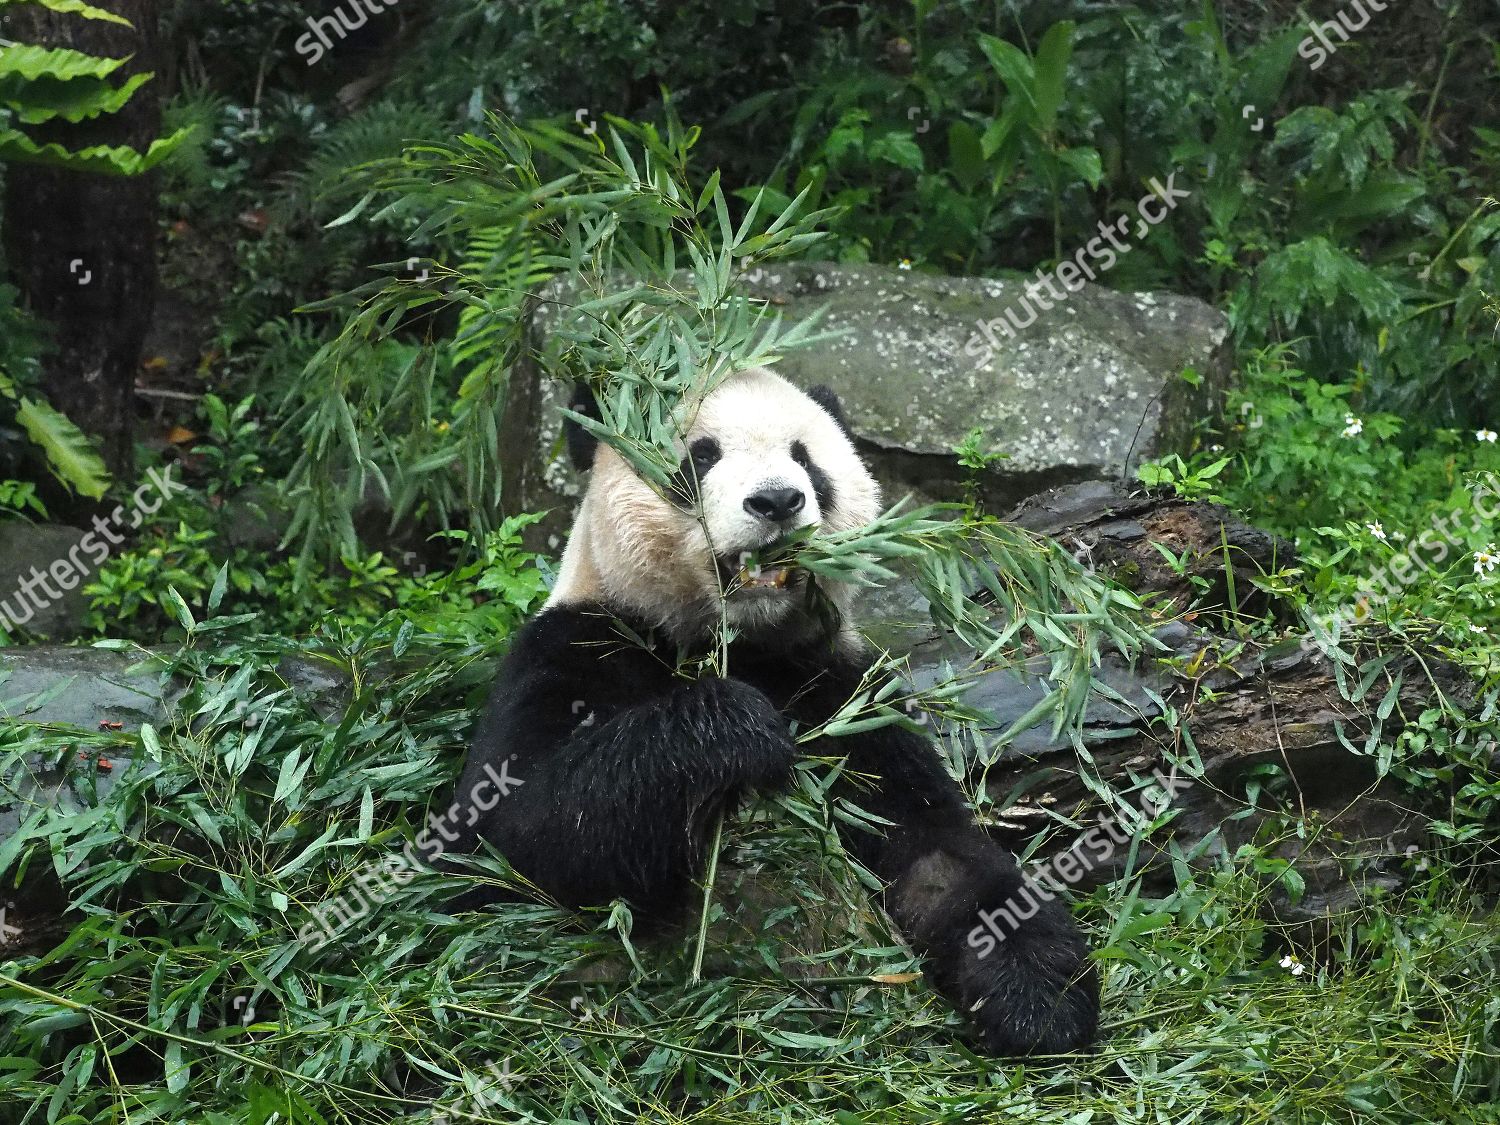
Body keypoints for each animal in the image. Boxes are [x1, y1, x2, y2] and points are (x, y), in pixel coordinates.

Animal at [450, 367, 1098, 1056]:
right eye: (701, 456)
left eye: (805, 459)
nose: (777, 502)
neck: (734, 641)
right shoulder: (577, 645)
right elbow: (508, 840)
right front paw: (736, 730)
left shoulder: (838, 691)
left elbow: (935, 851)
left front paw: (1039, 995)